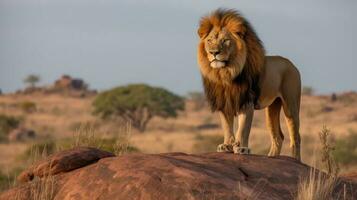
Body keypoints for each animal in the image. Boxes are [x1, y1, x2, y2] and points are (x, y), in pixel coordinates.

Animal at [197, 8, 300, 160]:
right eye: (209, 40)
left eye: (225, 40)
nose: (214, 52)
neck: (225, 73)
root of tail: (291, 64)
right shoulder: (224, 102)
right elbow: (227, 126)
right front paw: (226, 145)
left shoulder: (246, 101)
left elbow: (243, 127)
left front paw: (241, 148)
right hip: (272, 108)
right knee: (278, 136)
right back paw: (271, 157)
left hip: (291, 104)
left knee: (295, 137)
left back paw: (295, 160)